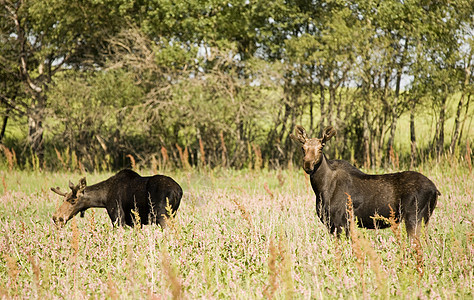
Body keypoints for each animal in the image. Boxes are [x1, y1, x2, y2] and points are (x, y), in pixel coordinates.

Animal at [51, 169, 181, 227]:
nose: (57, 218)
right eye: (63, 200)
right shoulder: (135, 222)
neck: (103, 199)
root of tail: (178, 191)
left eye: (73, 200)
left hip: (163, 216)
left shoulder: (118, 217)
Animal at [288, 125, 440, 238]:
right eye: (303, 148)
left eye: (321, 147)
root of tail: (435, 190)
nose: (308, 165)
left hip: (414, 216)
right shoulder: (331, 224)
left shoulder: (342, 221)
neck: (321, 189)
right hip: (424, 219)